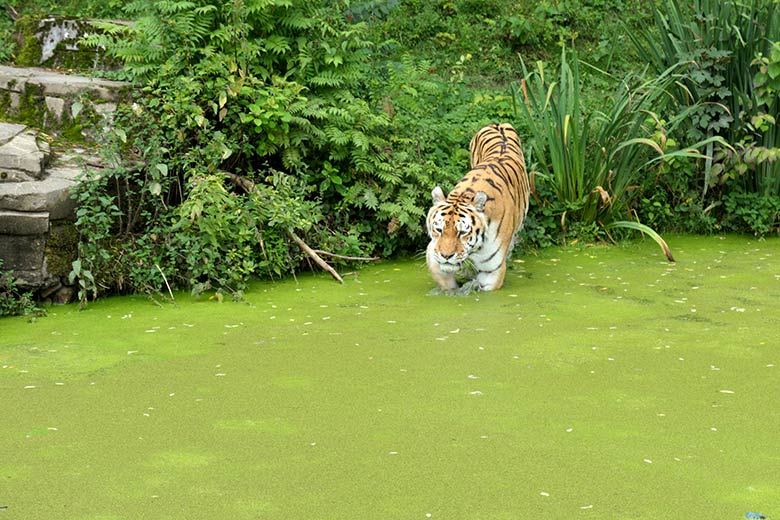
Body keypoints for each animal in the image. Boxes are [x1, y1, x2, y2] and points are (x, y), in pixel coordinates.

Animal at [426, 122, 532, 292]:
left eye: (462, 232)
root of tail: (498, 124)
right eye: (439, 230)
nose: (446, 256)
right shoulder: (433, 252)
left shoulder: (492, 271)